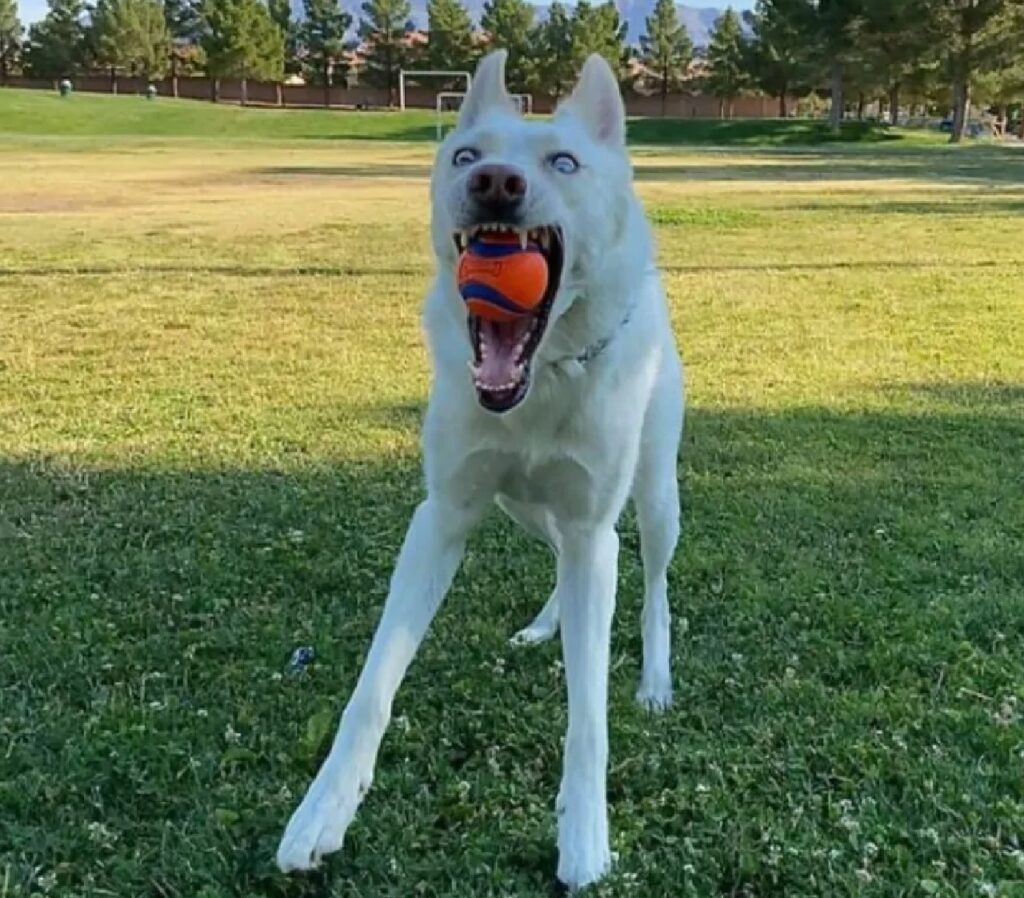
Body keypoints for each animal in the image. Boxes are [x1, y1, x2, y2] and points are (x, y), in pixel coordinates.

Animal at [276, 50, 684, 888]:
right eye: (464, 156)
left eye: (564, 162)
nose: (496, 181)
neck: (543, 376)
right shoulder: (442, 519)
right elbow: (371, 686)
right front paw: (323, 810)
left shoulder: (595, 525)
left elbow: (588, 713)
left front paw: (584, 836)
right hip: (518, 506)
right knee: (561, 555)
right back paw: (545, 622)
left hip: (658, 494)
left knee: (654, 579)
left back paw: (655, 679)